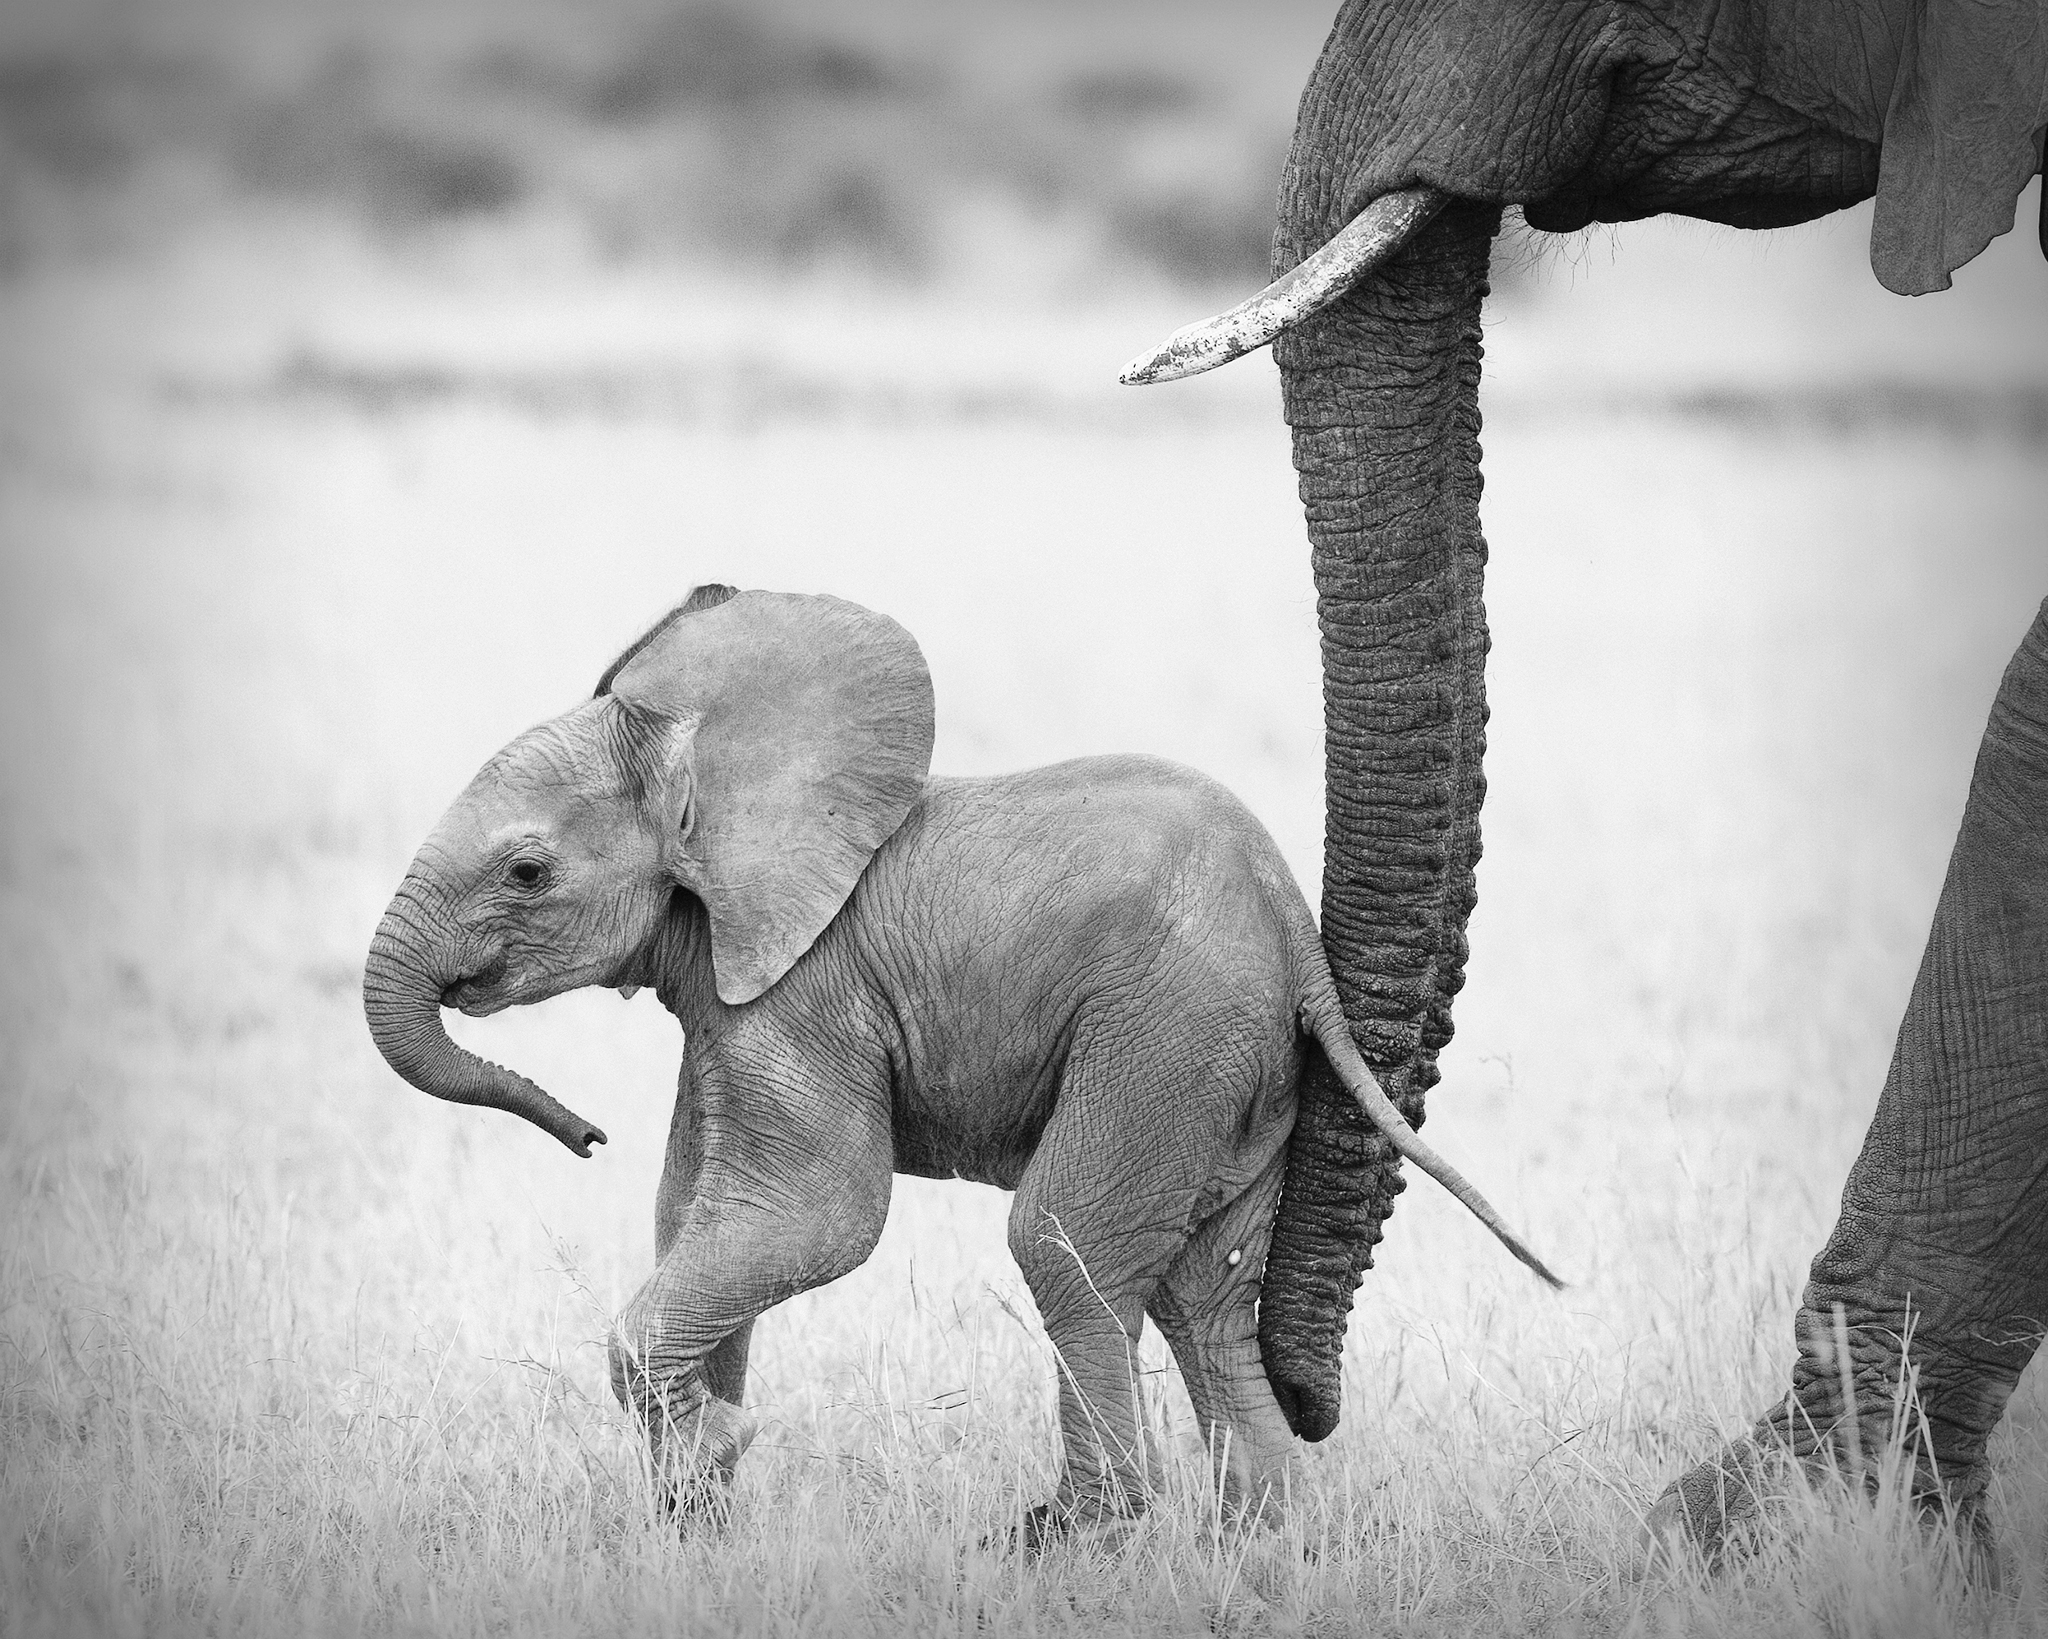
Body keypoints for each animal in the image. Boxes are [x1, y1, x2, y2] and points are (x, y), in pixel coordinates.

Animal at [364, 585, 1548, 1540]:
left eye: (525, 872)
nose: (585, 1135)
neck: (715, 763)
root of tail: (1295, 934)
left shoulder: (806, 991)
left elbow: (814, 1215)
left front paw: (712, 1452)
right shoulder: (729, 993)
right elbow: (691, 1213)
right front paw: (692, 1515)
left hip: (1169, 1031)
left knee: (1064, 1240)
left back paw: (1070, 1538)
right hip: (1235, 1068)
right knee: (1201, 1295)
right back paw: (1263, 1544)